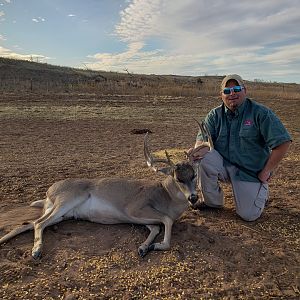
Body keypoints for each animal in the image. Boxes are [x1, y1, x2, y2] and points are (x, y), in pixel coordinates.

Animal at [0, 134, 199, 258]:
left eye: (194, 175)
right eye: (178, 178)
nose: (193, 197)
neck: (164, 195)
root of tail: (49, 191)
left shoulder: (142, 218)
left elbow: (156, 227)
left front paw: (144, 247)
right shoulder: (134, 208)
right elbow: (166, 220)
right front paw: (157, 245)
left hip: (62, 214)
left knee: (30, 223)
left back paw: (5, 240)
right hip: (67, 200)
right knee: (39, 223)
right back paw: (36, 251)